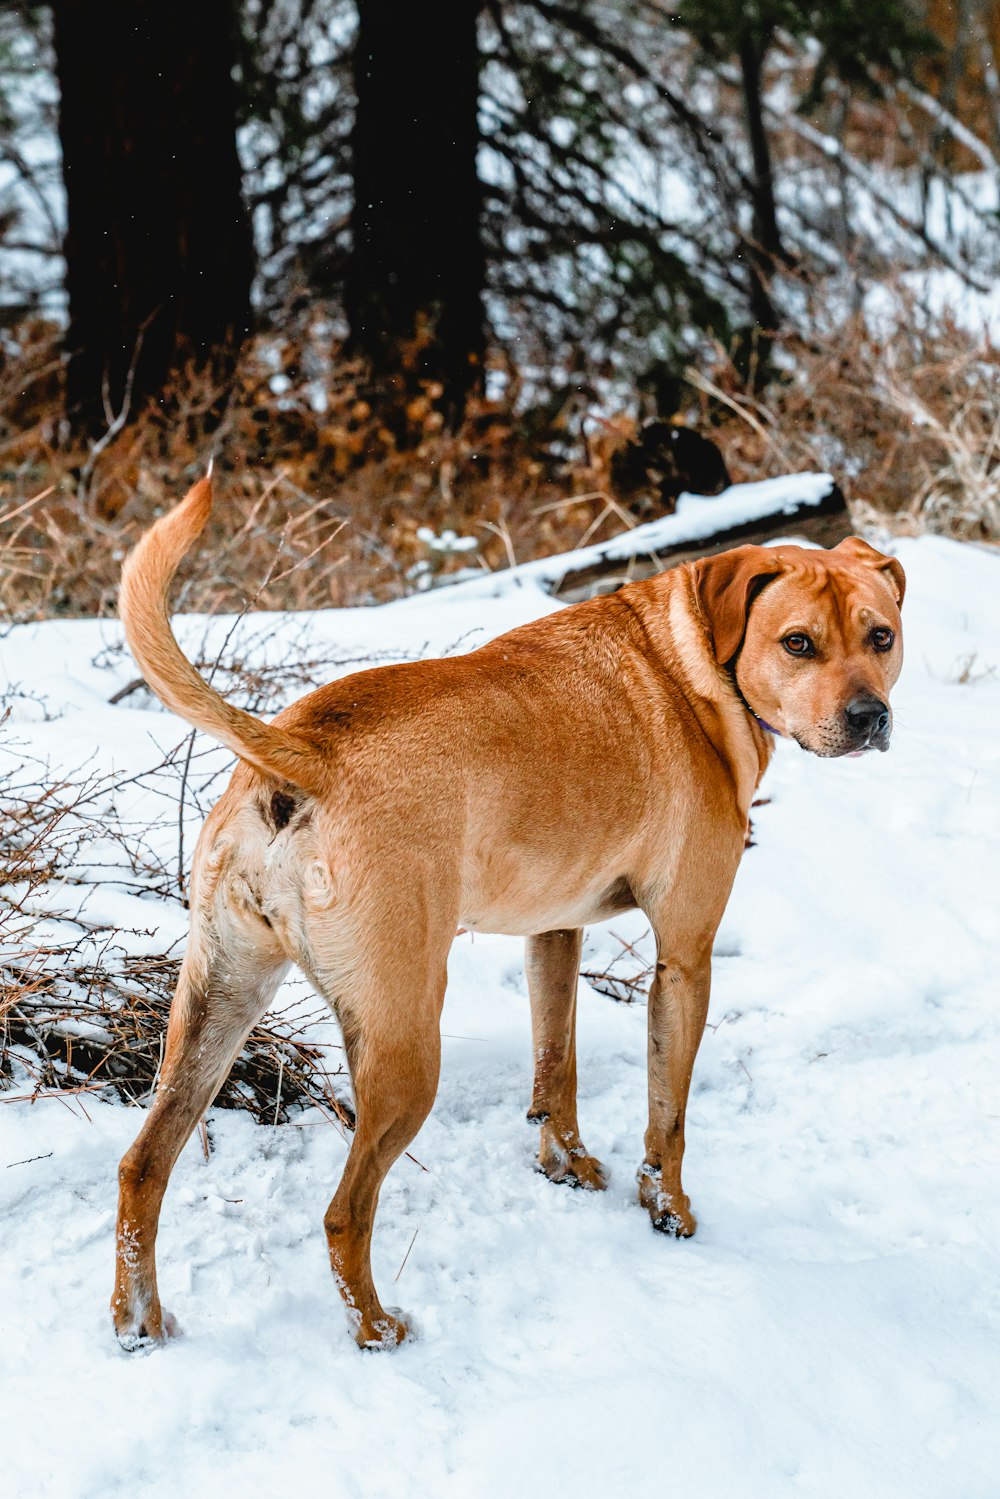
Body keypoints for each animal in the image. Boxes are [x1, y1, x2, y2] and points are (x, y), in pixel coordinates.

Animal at [109, 476, 905, 1349]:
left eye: (882, 636)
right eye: (797, 643)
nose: (870, 717)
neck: (694, 658)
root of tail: (304, 749)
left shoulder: (555, 929)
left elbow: (557, 1064)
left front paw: (564, 1164)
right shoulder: (685, 956)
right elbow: (669, 1115)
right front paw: (667, 1208)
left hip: (214, 1007)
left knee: (142, 1167)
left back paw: (139, 1321)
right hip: (403, 1047)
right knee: (344, 1212)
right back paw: (375, 1326)